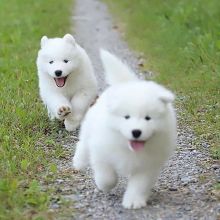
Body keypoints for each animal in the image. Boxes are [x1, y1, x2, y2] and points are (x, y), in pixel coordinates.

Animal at [73, 50, 176, 210]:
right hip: (89, 128)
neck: (128, 148)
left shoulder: (148, 166)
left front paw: (133, 201)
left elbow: (139, 184)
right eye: (126, 117)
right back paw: (78, 163)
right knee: (83, 144)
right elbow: (106, 175)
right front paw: (105, 185)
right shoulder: (101, 151)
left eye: (148, 118)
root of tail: (126, 84)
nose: (136, 132)